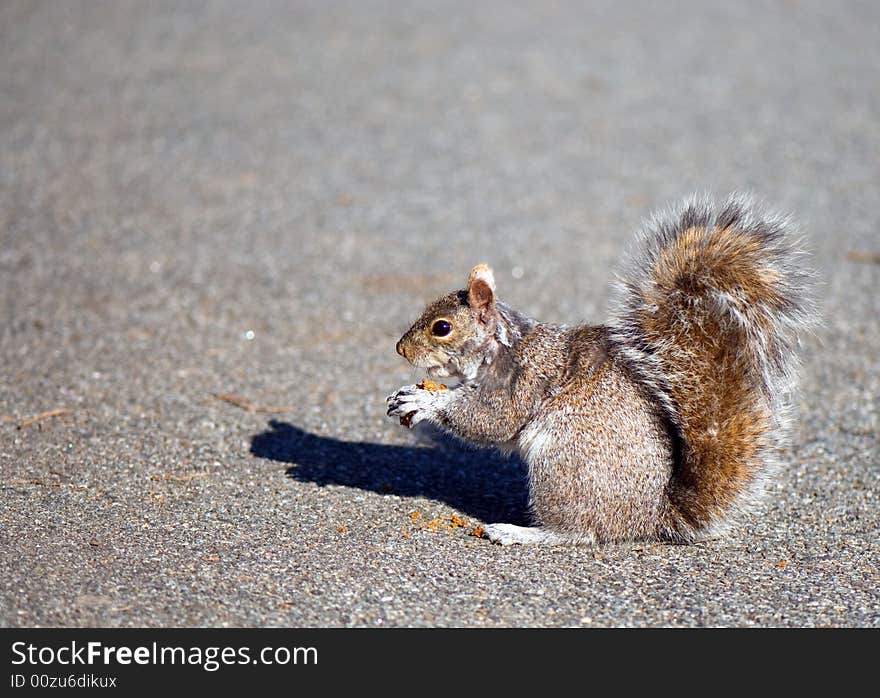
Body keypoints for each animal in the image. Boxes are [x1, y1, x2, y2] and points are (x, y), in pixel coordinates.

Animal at [386, 194, 820, 544]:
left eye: (442, 328)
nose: (400, 348)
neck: (501, 347)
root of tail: (650, 517)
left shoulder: (522, 382)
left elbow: (491, 420)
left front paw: (423, 401)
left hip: (563, 466)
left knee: (579, 532)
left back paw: (521, 533)